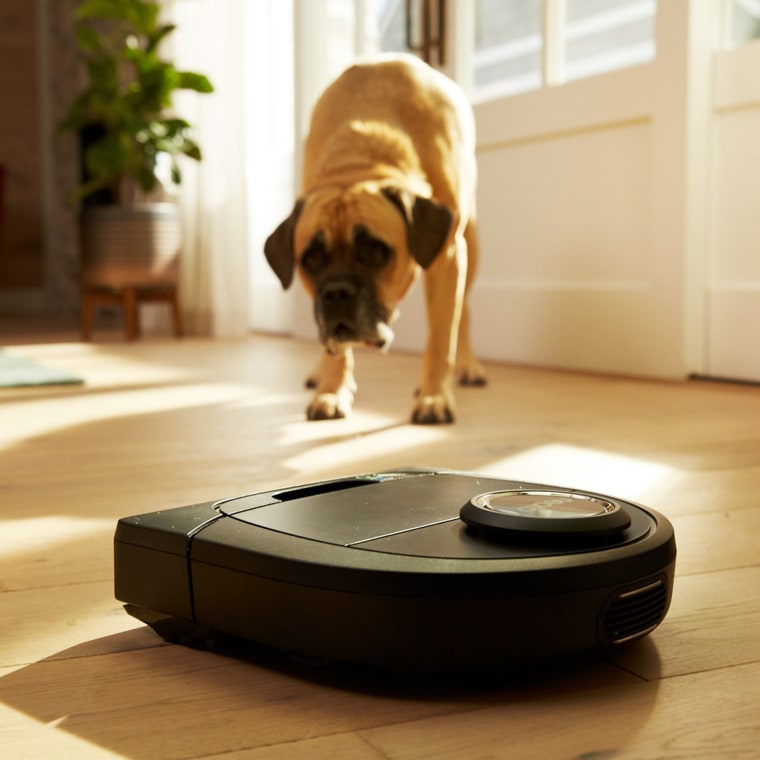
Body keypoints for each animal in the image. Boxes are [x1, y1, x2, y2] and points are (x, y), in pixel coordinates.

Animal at [264, 53, 484, 422]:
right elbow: (337, 351)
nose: (336, 293)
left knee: (462, 311)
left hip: (472, 244)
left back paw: (467, 365)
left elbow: (441, 337)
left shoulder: (449, 255)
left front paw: (434, 396)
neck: (360, 159)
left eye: (376, 250)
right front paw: (332, 390)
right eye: (311, 259)